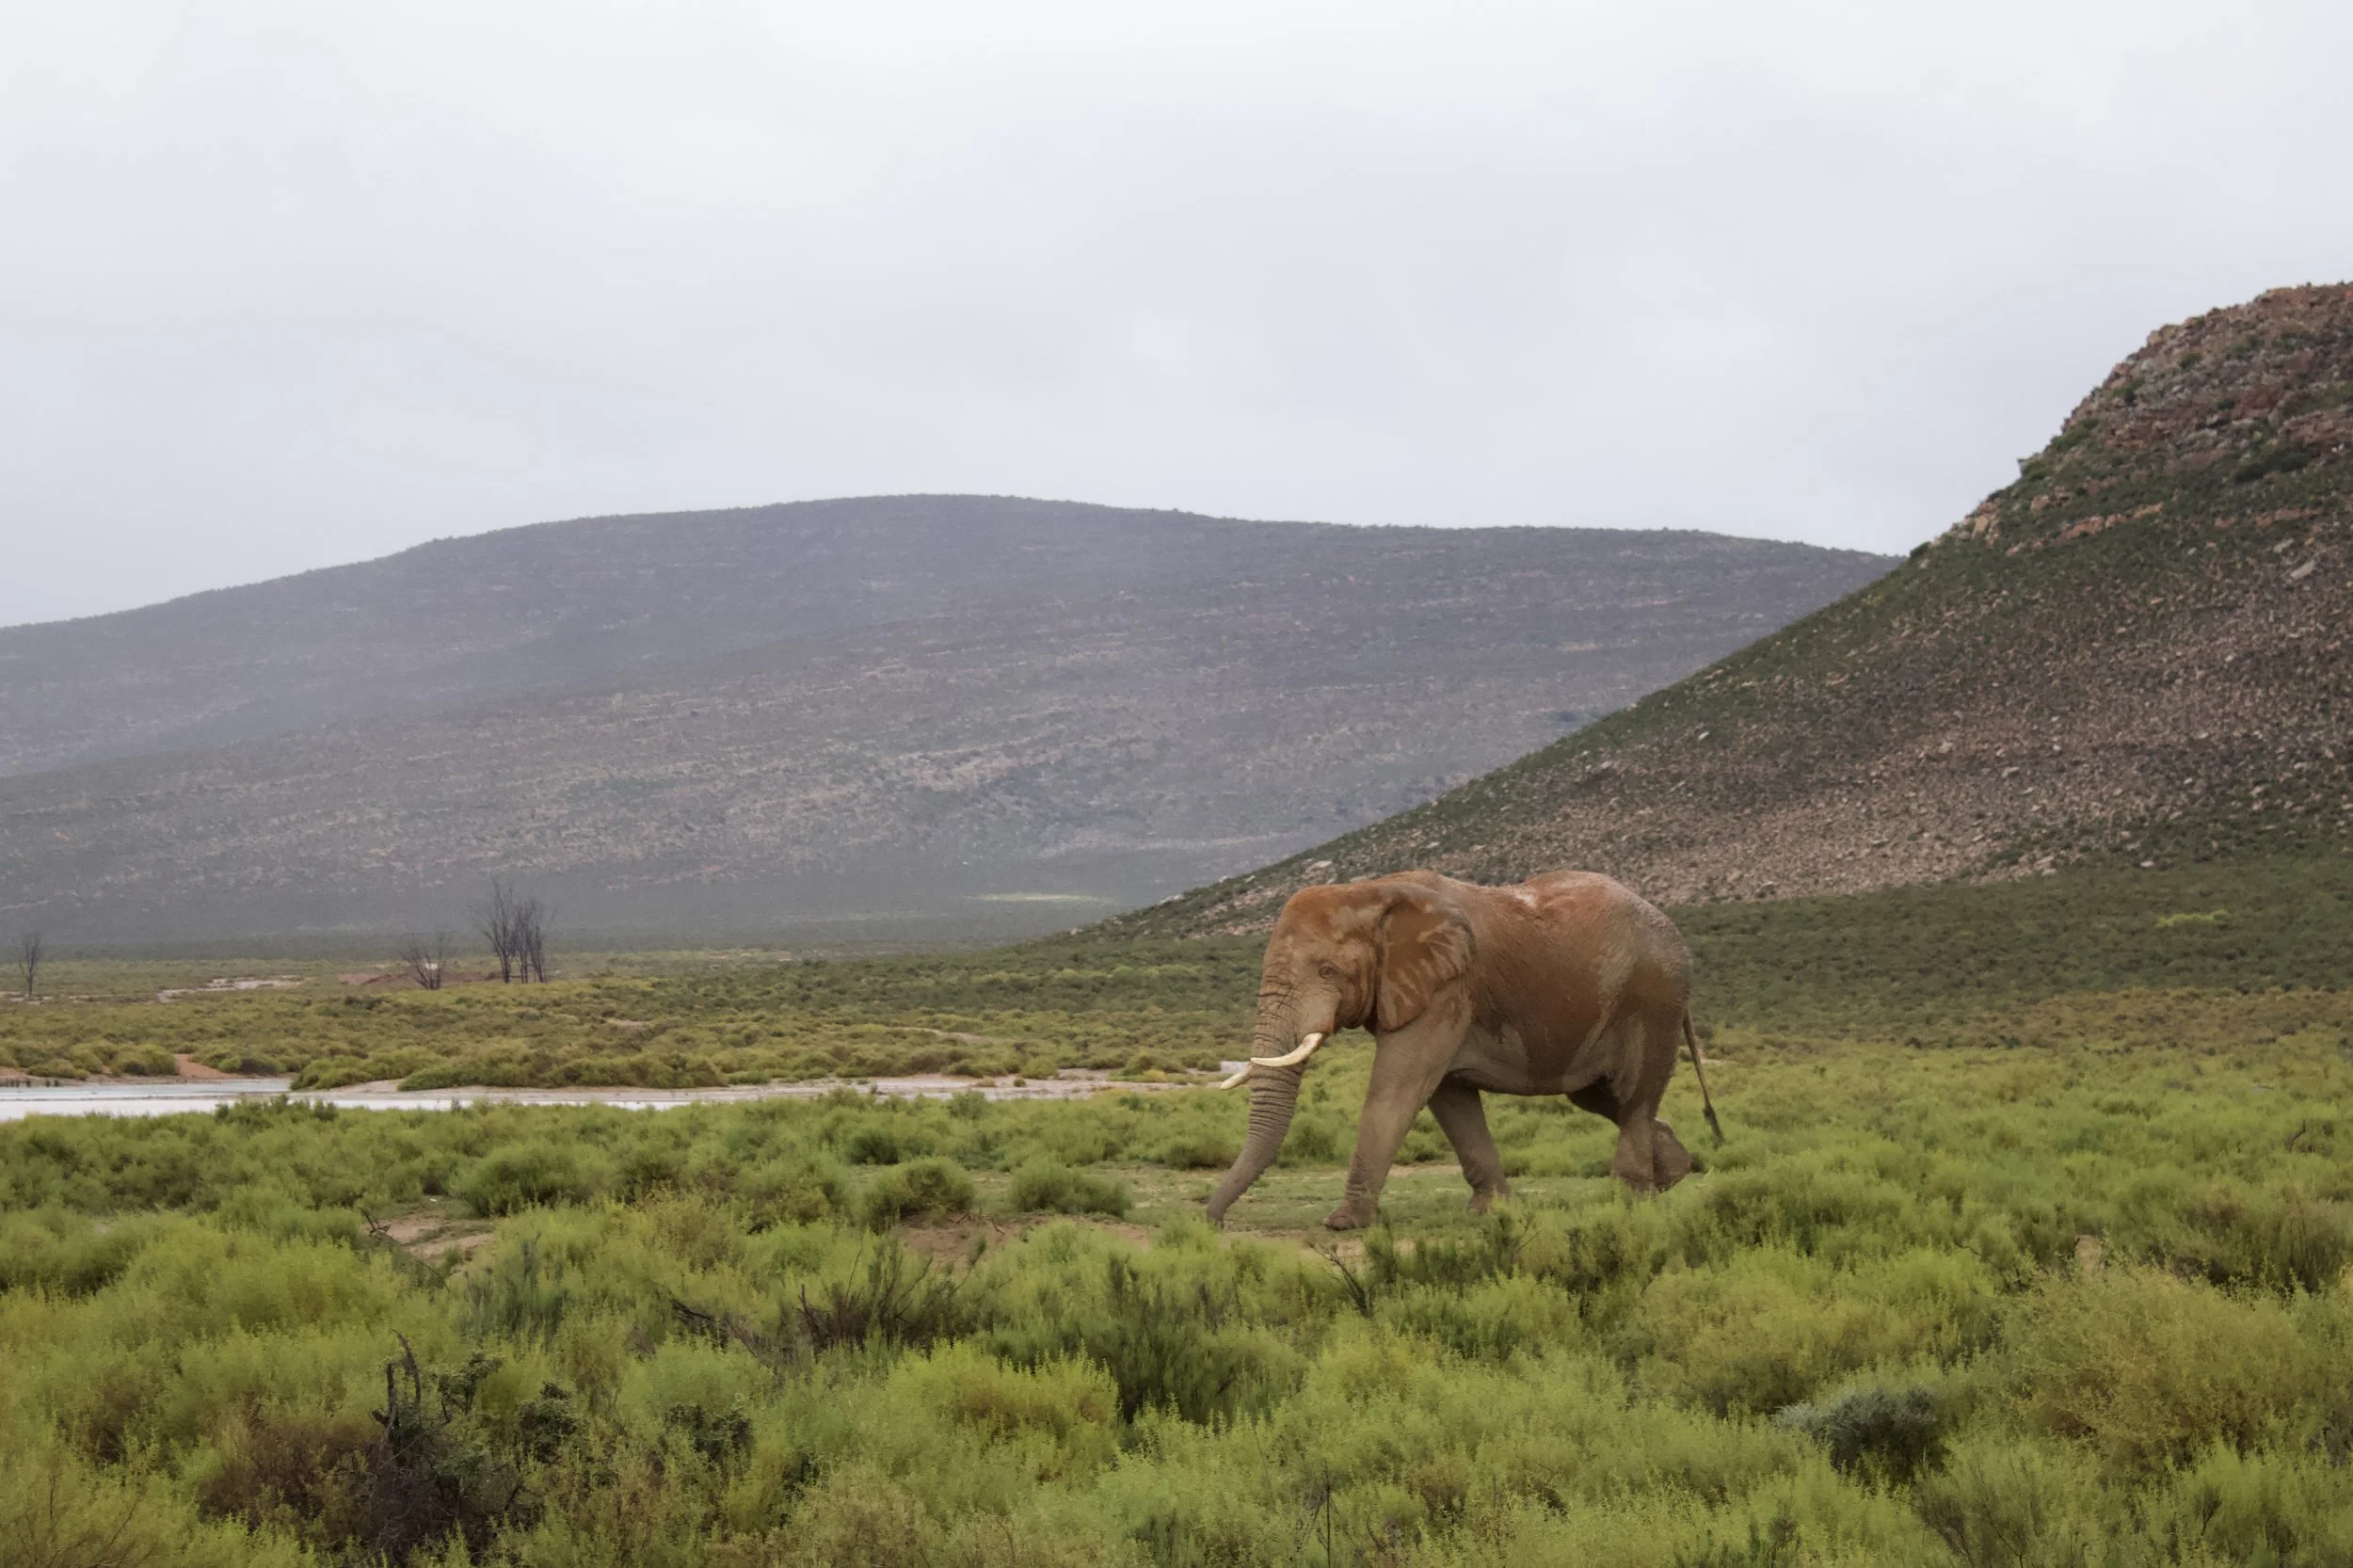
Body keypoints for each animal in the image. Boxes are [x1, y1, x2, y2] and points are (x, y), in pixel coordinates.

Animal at [1205, 868, 1721, 1230]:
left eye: (1327, 971)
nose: (1211, 1221)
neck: (1370, 892)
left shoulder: (1447, 990)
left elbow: (1398, 1090)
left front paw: (1343, 1223)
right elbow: (1448, 1099)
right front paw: (1490, 1213)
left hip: (1653, 997)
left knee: (1633, 1094)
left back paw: (1630, 1198)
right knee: (1600, 1096)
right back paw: (1674, 1175)